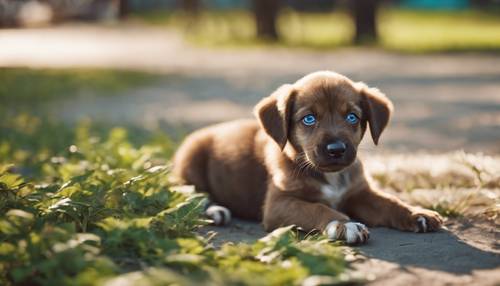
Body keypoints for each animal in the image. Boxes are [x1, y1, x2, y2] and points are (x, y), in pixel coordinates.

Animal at [174, 71, 444, 244]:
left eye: (352, 117)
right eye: (309, 119)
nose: (336, 149)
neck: (329, 176)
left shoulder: (359, 193)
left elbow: (389, 202)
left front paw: (415, 212)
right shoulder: (278, 204)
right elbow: (316, 208)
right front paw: (343, 225)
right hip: (191, 162)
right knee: (192, 196)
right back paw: (215, 210)